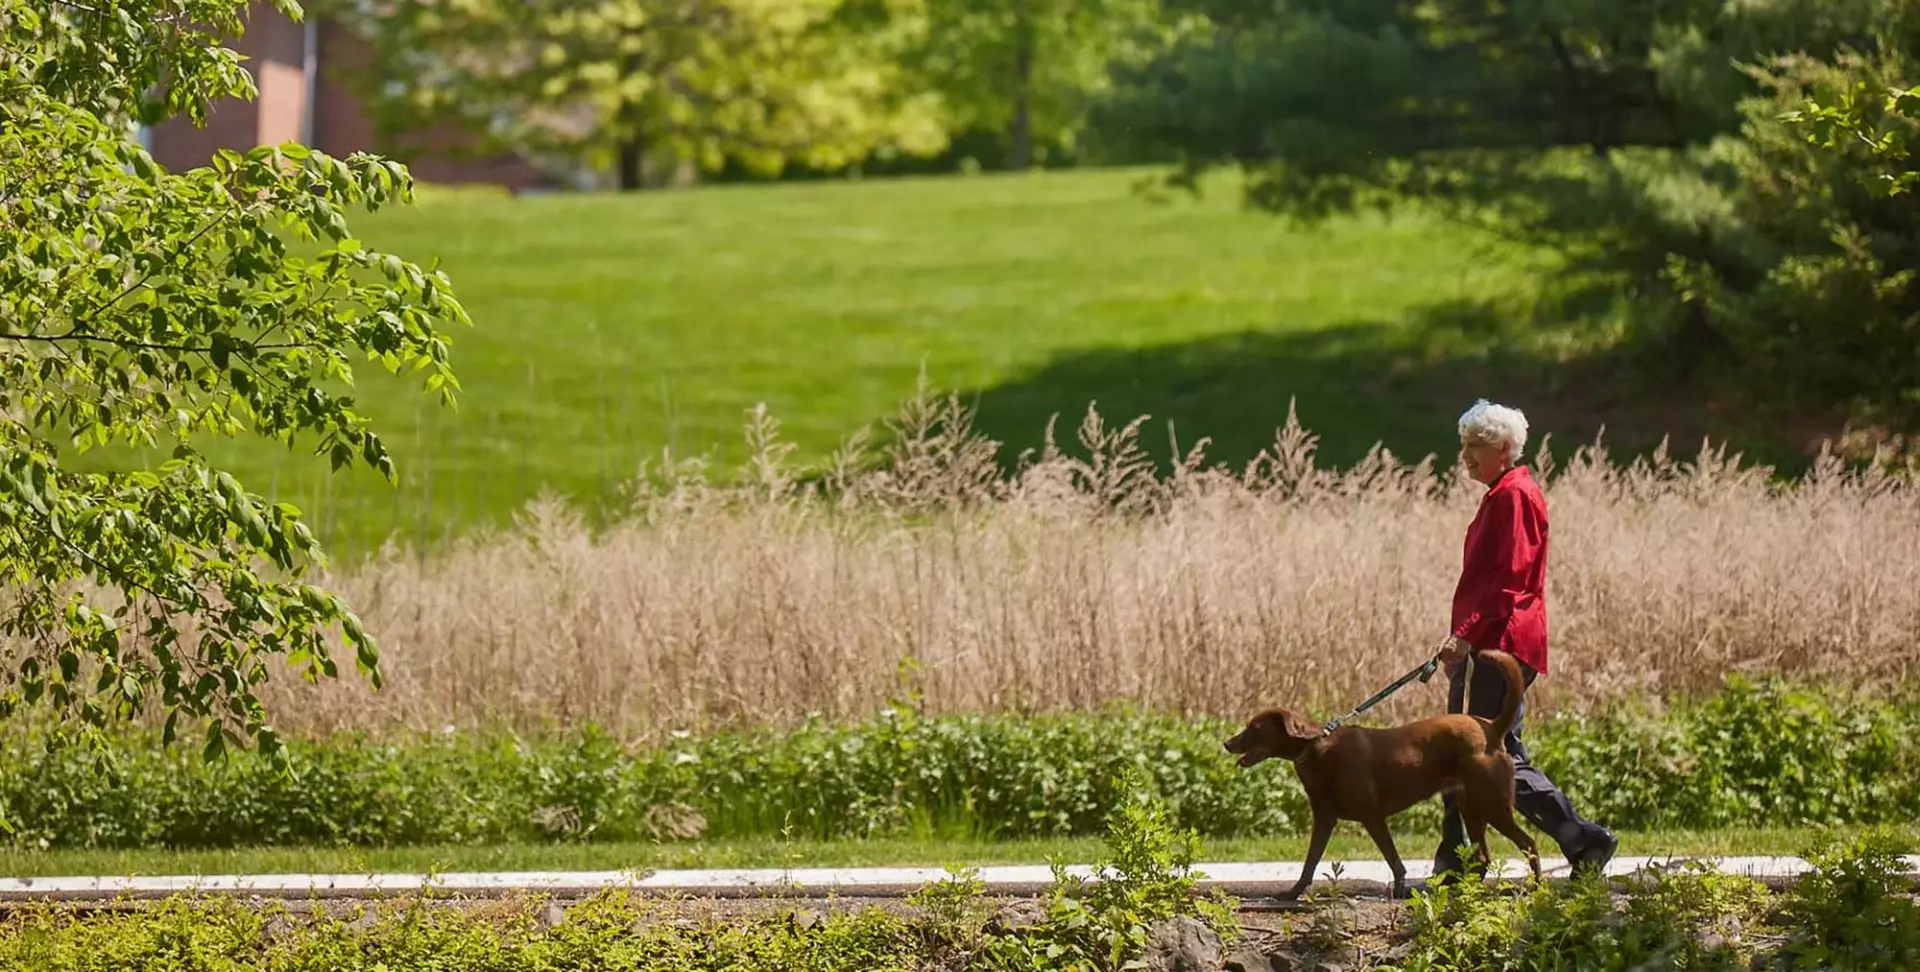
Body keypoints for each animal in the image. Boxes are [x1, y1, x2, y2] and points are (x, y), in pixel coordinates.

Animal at [1228, 649, 1543, 899]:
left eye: (1254, 728)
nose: (1227, 743)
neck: (1316, 748)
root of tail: (1490, 727)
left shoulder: (1372, 815)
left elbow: (1394, 861)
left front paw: (1399, 892)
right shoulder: (1325, 819)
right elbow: (1310, 863)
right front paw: (1292, 893)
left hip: (1492, 804)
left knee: (1528, 843)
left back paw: (1536, 887)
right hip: (1471, 806)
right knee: (1483, 854)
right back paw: (1467, 892)